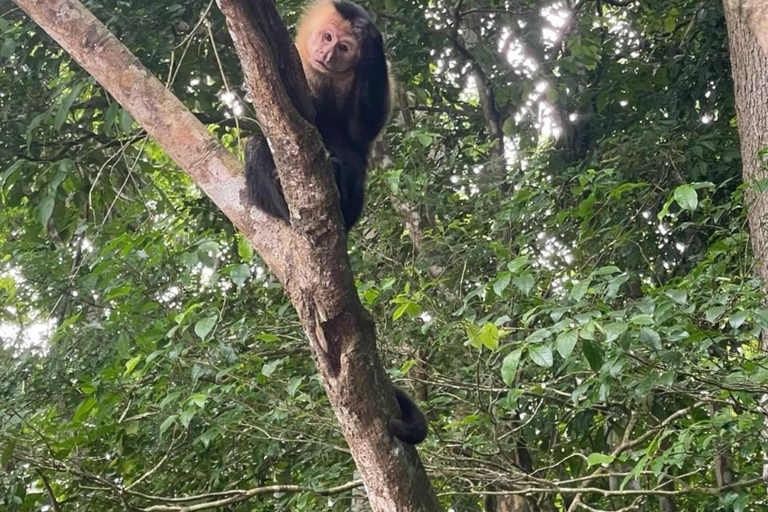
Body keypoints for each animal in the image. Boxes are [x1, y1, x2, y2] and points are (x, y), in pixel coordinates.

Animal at [245, 0, 391, 232]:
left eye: (343, 48)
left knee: (350, 155)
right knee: (256, 145)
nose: (326, 54)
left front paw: (370, 39)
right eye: (328, 37)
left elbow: (360, 132)